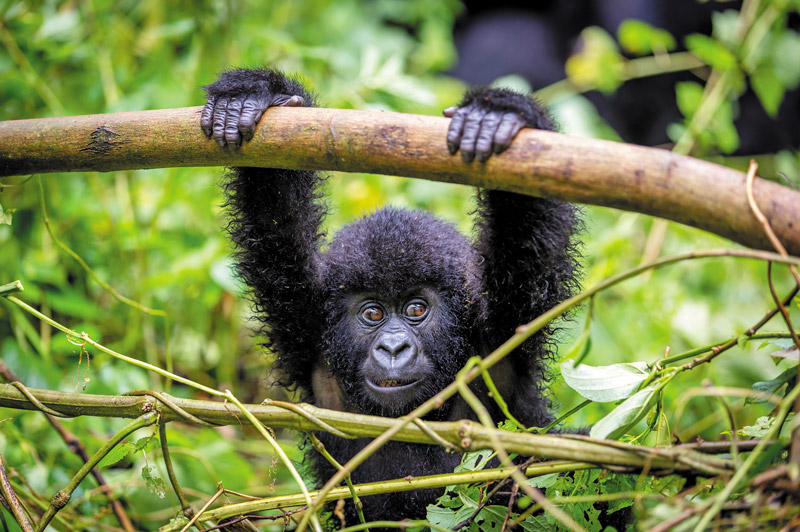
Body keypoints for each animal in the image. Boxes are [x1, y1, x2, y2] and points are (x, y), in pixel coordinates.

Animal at [200, 69, 580, 524]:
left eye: (416, 309)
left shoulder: (505, 327)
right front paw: (253, 96)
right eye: (373, 314)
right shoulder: (305, 321)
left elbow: (526, 231)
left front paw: (499, 114)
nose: (394, 347)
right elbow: (274, 219)